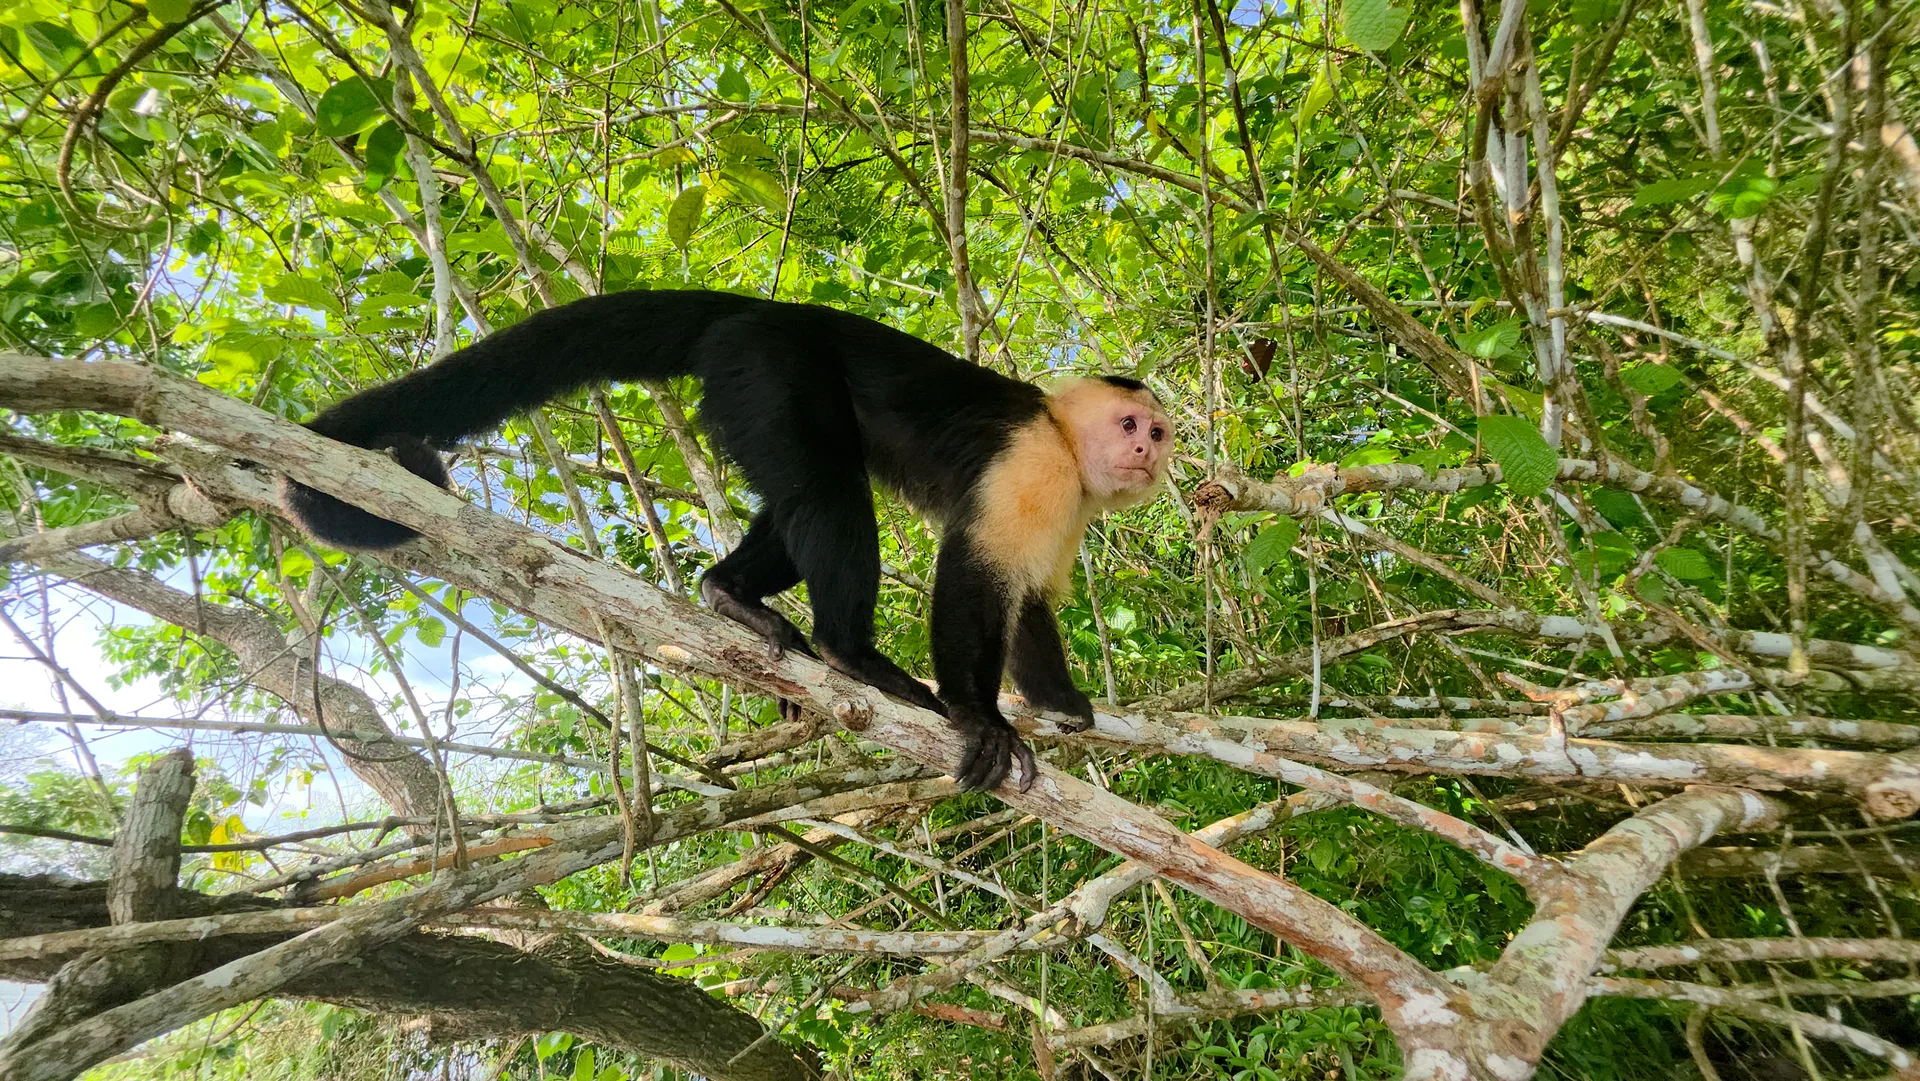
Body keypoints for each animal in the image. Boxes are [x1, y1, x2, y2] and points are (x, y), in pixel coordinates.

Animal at [282, 289, 1170, 792]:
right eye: (1132, 424)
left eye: (1157, 433)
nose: (1150, 452)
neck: (1064, 438)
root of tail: (773, 310)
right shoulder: (1037, 466)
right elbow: (975, 575)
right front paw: (981, 718)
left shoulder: (1075, 501)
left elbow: (1030, 602)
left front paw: (1060, 701)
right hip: (768, 367)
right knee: (831, 490)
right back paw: (851, 652)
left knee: (803, 495)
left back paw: (727, 591)